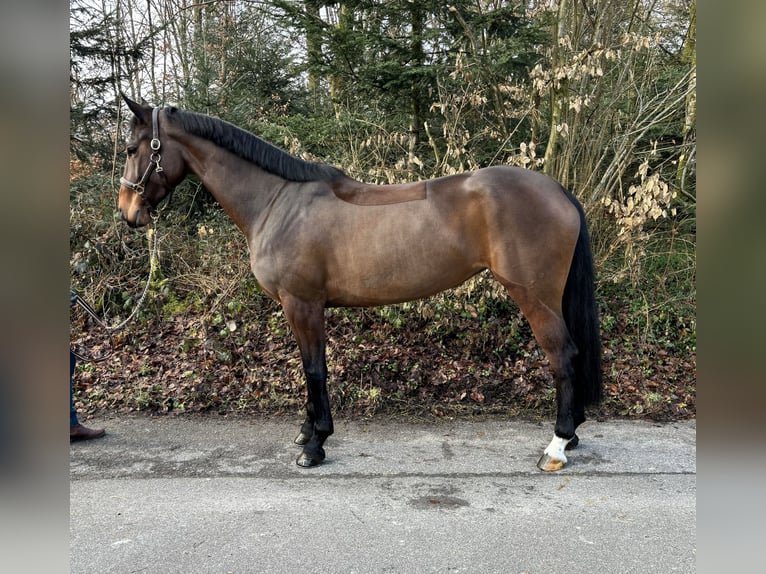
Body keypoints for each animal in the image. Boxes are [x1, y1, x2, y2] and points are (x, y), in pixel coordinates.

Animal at [116, 94, 602, 470]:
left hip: (534, 296)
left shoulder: (302, 303)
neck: (277, 202)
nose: (127, 213)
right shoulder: (299, 307)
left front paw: (315, 445)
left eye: (132, 148)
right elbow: (307, 369)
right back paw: (573, 434)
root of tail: (558, 190)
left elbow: (314, 369)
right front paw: (305, 431)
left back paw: (557, 445)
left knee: (563, 355)